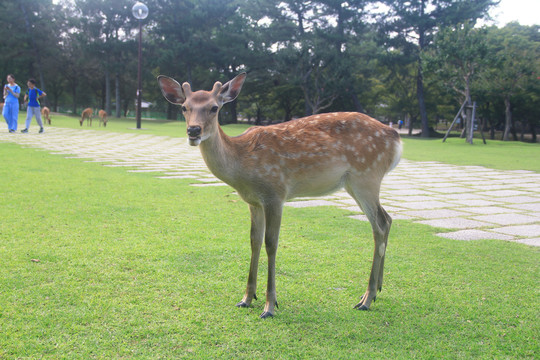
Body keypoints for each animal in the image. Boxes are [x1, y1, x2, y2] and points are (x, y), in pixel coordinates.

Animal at [156, 72, 400, 318]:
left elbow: (271, 244)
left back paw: (367, 298)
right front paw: (246, 298)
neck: (242, 165)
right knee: (387, 219)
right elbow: (254, 241)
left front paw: (270, 306)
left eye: (214, 107)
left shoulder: (275, 193)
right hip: (355, 182)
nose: (193, 131)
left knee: (379, 226)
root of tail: (396, 138)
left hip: (366, 176)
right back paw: (377, 289)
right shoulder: (253, 201)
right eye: (184, 107)